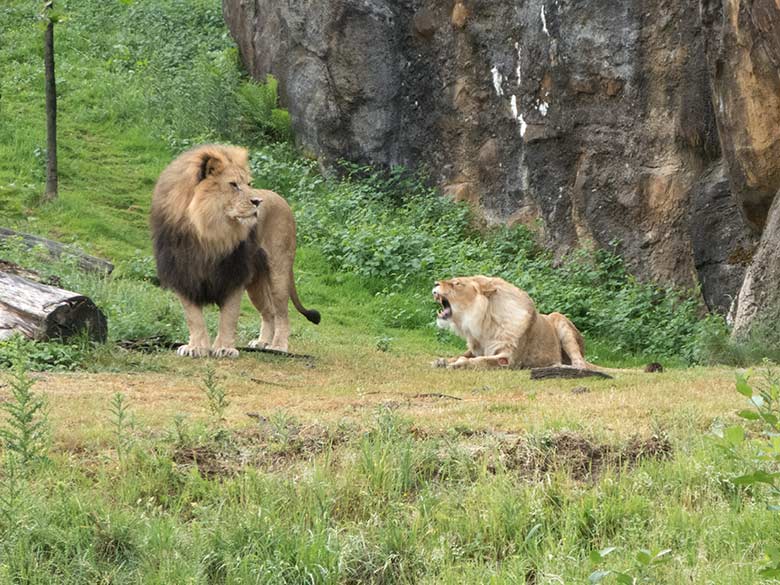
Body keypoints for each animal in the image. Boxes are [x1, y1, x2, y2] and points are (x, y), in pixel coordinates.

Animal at [149, 145, 320, 356]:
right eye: (233, 184)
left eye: (248, 183)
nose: (257, 201)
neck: (207, 231)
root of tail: (281, 199)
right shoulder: (183, 274)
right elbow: (193, 317)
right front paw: (196, 347)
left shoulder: (234, 274)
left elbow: (229, 317)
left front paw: (224, 349)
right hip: (255, 283)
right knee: (269, 312)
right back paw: (262, 343)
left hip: (278, 271)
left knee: (282, 314)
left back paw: (278, 346)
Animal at [430, 274, 588, 368]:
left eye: (457, 283)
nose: (435, 283)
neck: (484, 325)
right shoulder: (475, 349)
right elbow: (461, 355)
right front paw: (441, 361)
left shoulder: (508, 359)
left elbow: (480, 361)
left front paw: (457, 365)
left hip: (559, 318)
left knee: (578, 359)